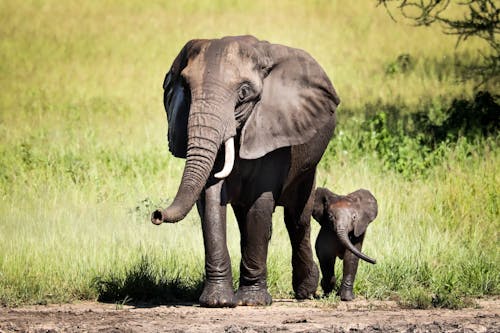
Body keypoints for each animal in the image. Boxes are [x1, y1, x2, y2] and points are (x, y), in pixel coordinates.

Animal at [151, 35, 340, 308]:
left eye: (243, 93)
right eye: (185, 89)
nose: (156, 214)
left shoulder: (273, 127)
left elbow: (260, 202)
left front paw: (252, 302)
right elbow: (210, 198)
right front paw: (218, 301)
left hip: (308, 164)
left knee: (297, 218)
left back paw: (306, 291)